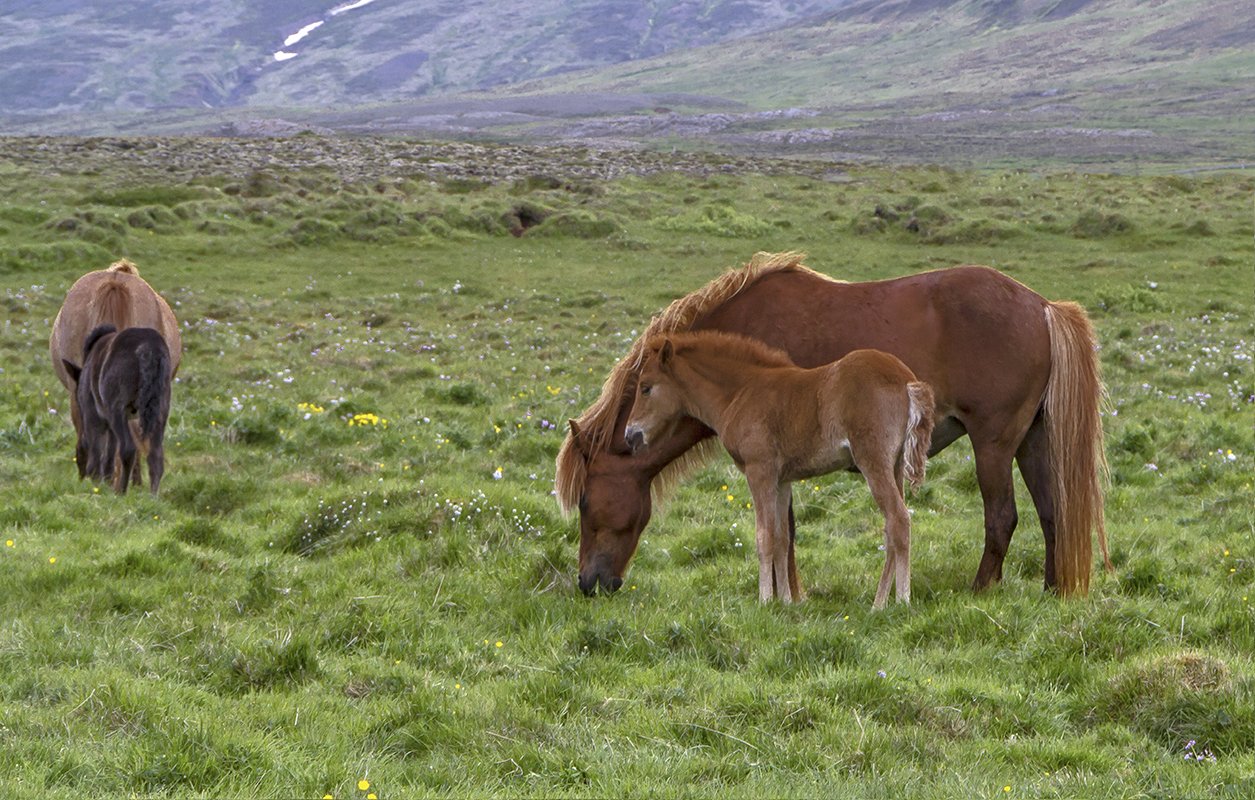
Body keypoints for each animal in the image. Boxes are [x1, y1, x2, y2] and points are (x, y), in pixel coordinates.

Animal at [61, 324, 171, 492]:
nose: (80, 478)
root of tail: (150, 347)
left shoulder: (94, 417)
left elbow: (96, 455)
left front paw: (97, 484)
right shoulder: (110, 423)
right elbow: (109, 456)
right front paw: (105, 482)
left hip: (117, 409)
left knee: (128, 448)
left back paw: (121, 492)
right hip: (160, 410)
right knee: (156, 456)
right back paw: (152, 495)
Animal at [624, 334, 933, 607]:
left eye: (646, 387)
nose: (630, 435)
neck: (741, 392)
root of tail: (906, 380)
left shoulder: (759, 471)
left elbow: (764, 536)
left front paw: (764, 601)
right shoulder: (782, 480)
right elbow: (782, 537)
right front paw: (785, 602)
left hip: (873, 461)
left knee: (899, 520)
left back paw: (900, 601)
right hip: (894, 465)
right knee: (891, 527)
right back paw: (879, 603)